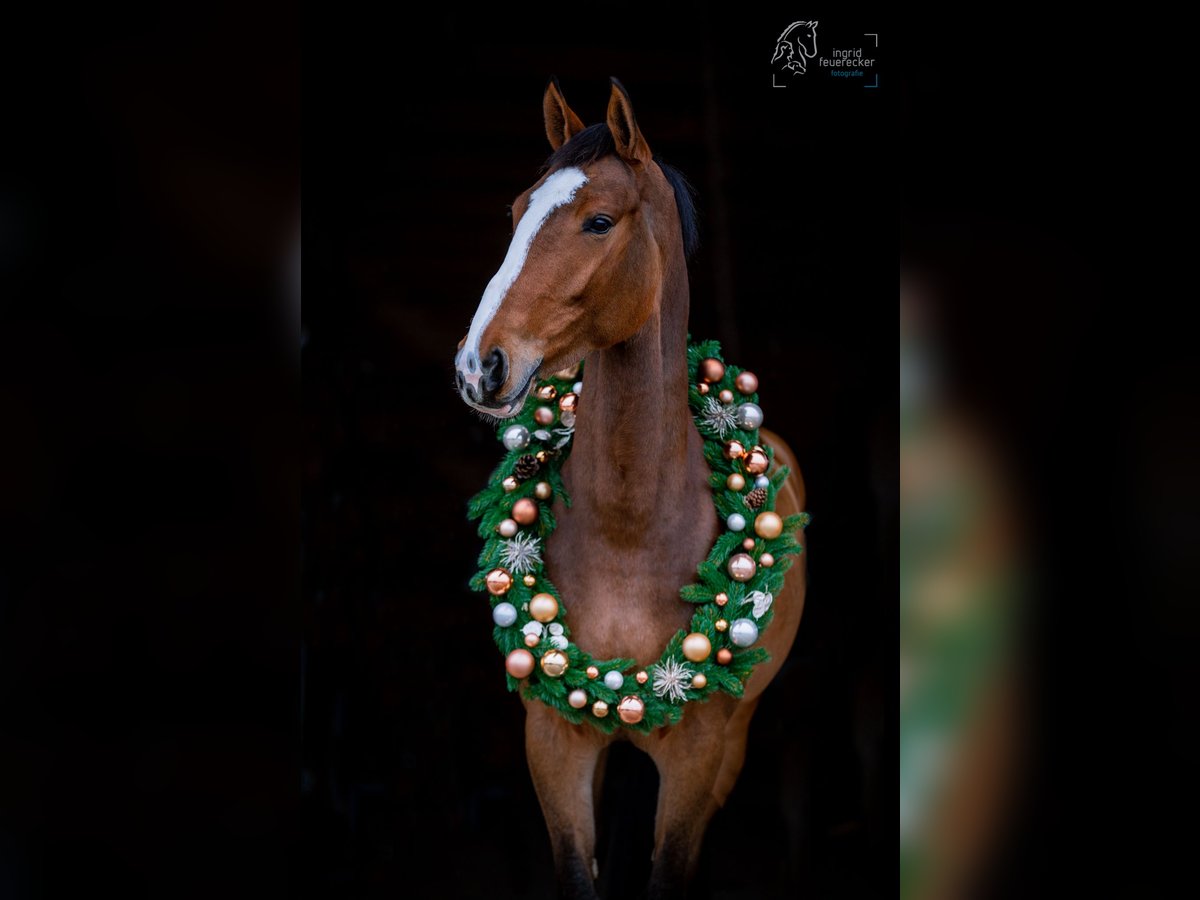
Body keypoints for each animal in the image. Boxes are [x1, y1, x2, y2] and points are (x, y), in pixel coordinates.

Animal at [453, 79, 811, 900]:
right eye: (517, 212)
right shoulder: (554, 740)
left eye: (598, 221)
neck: (630, 533)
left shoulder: (697, 756)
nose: (479, 367)